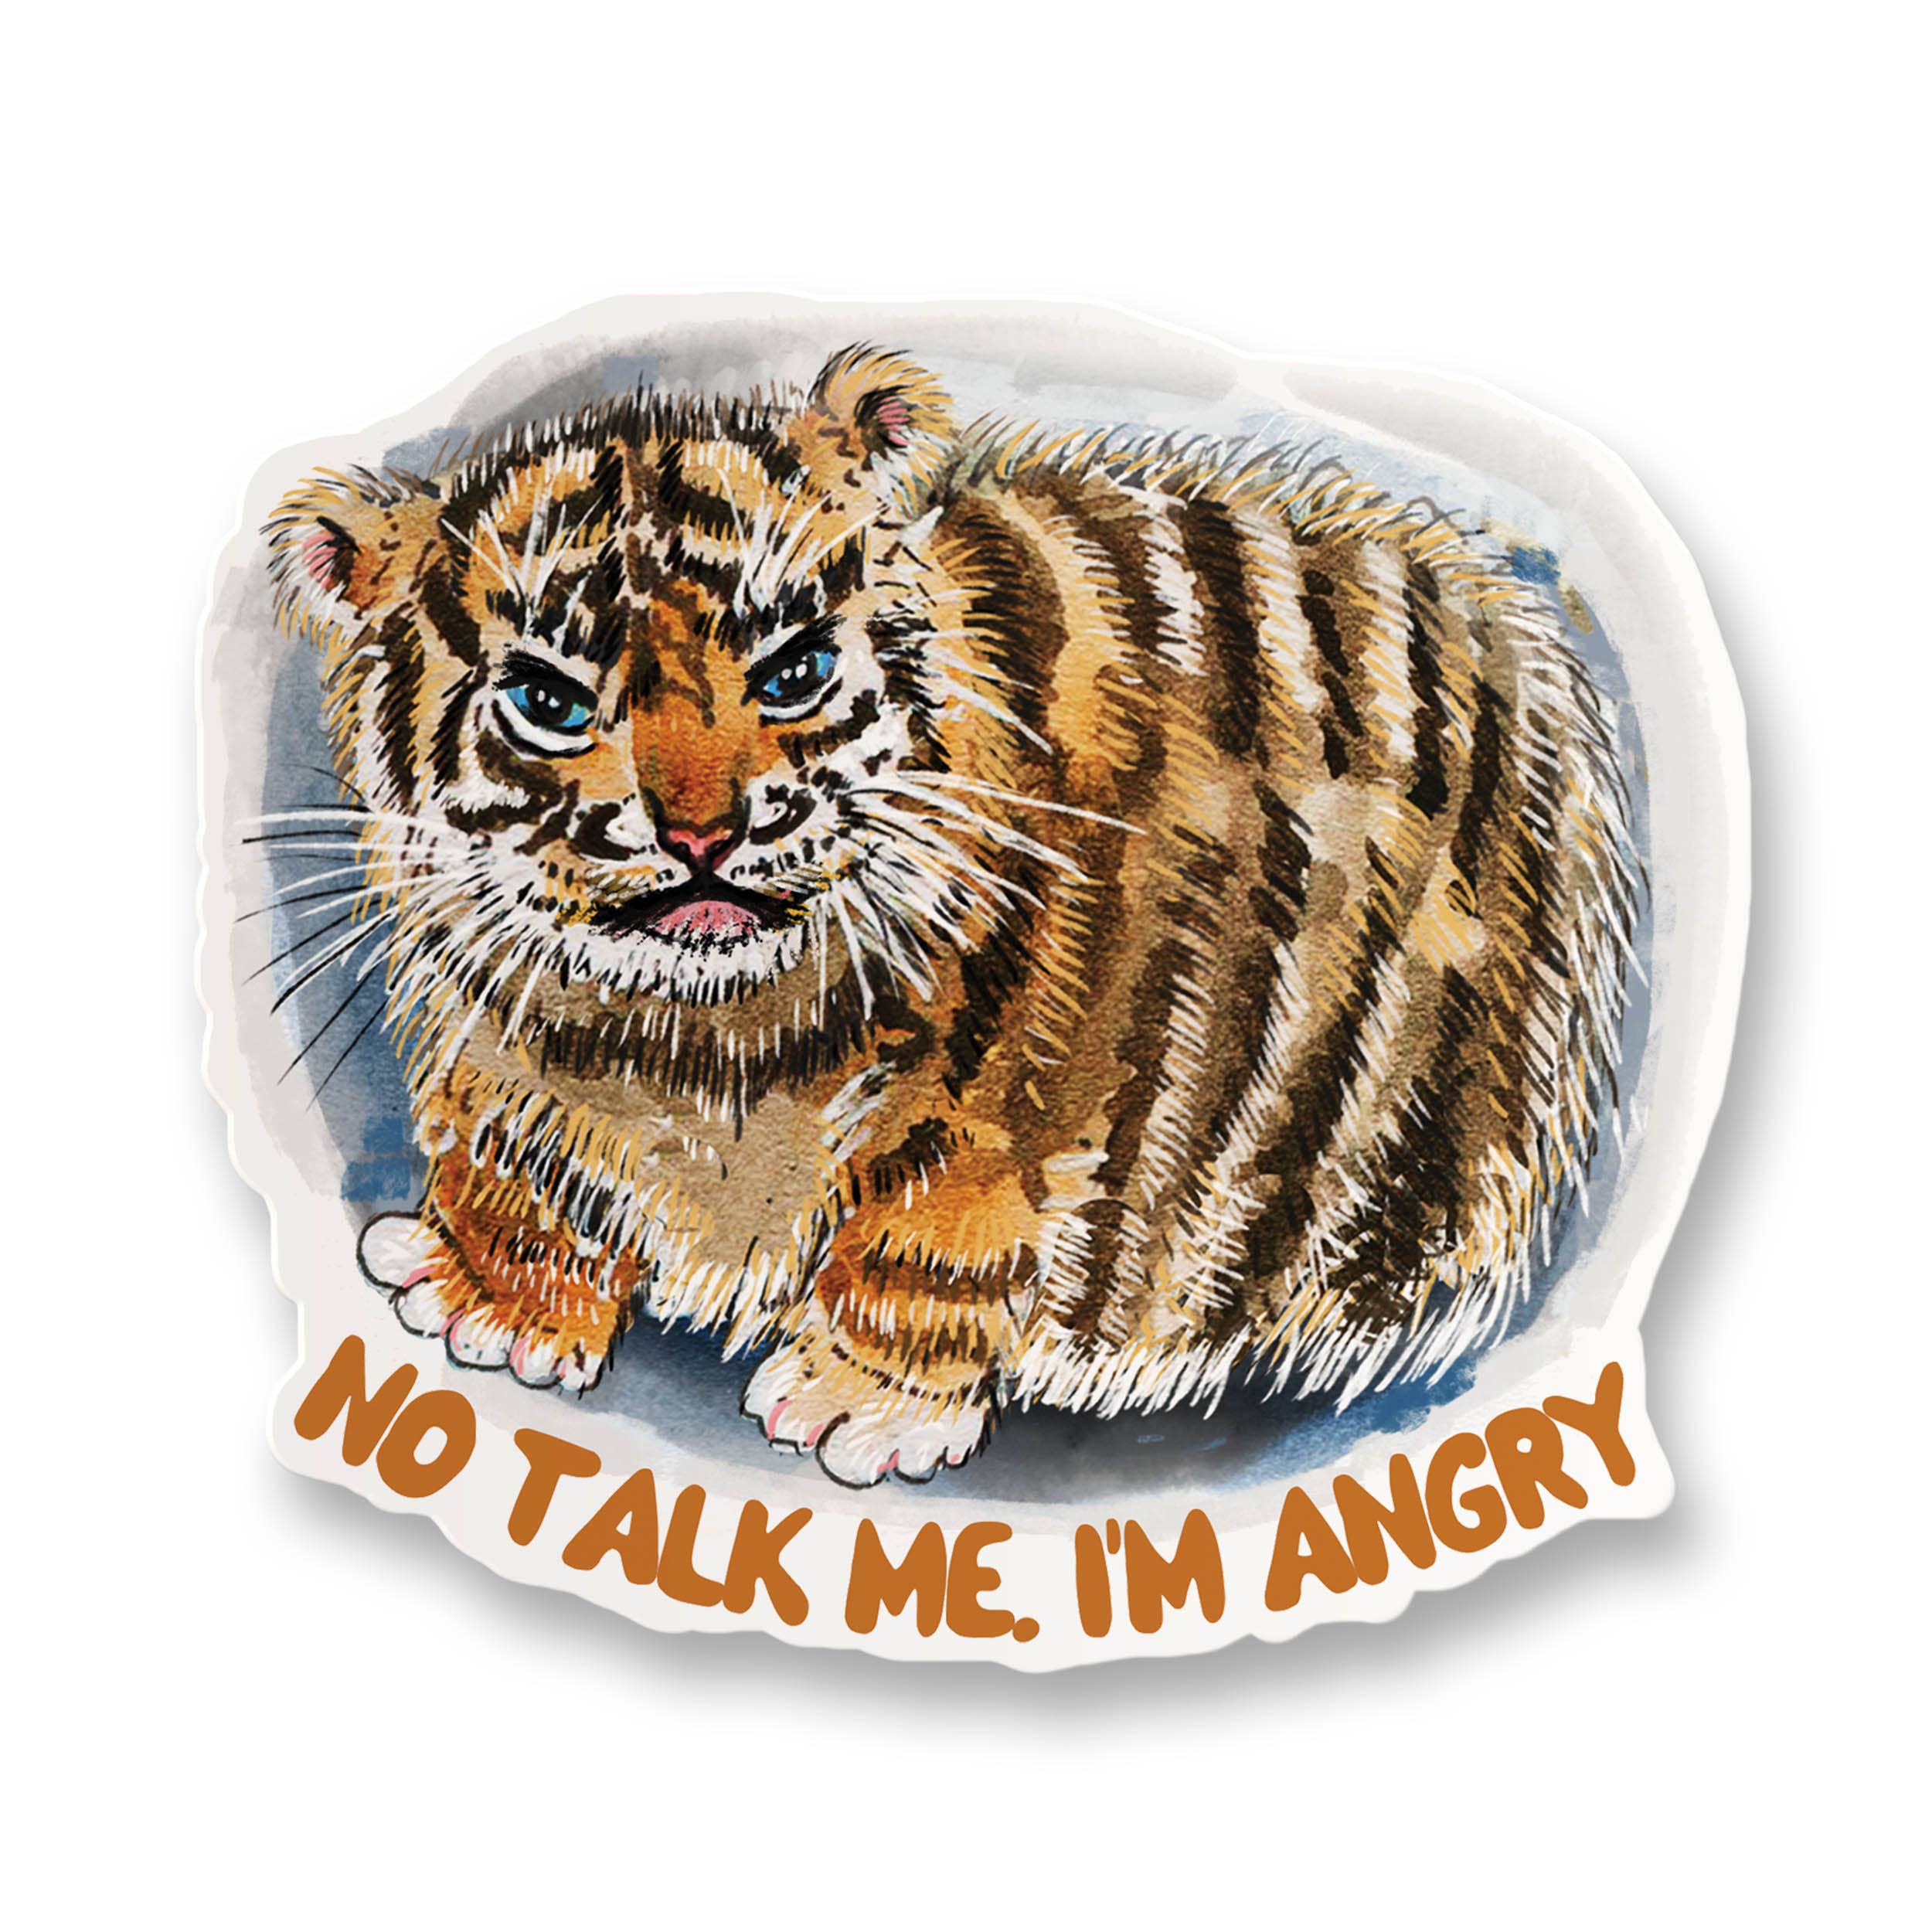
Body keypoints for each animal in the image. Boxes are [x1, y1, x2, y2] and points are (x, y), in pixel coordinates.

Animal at [262, 343, 1642, 1487]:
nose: (704, 837)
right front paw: (490, 1301)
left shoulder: (1008, 1109)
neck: (683, 1035)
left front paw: (860, 1404)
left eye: (797, 672)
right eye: (548, 702)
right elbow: (512, 1159)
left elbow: (933, 1237)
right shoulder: (497, 1035)